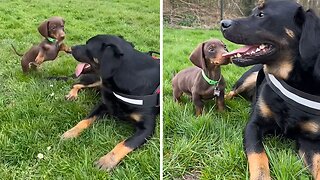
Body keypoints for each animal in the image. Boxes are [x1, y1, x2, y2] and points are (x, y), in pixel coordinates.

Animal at [60, 34, 160, 171]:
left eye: (88, 46)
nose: (71, 48)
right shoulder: (103, 105)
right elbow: (84, 121)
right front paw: (71, 132)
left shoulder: (147, 128)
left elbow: (125, 143)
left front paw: (107, 160)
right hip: (97, 80)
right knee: (77, 84)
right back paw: (72, 94)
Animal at [221, 0, 320, 179]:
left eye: (261, 15)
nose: (223, 23)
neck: (290, 82)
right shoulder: (253, 125)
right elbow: (258, 156)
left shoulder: (311, 141)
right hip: (250, 77)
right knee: (230, 92)